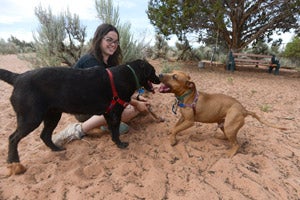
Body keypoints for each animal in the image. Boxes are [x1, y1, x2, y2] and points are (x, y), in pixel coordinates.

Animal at [0, 58, 159, 174]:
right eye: (153, 71)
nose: (159, 78)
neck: (128, 74)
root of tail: (18, 77)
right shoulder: (115, 113)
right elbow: (115, 131)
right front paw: (120, 144)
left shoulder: (108, 114)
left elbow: (113, 132)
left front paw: (115, 142)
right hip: (31, 118)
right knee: (13, 138)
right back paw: (13, 161)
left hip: (53, 116)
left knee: (44, 135)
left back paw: (56, 149)